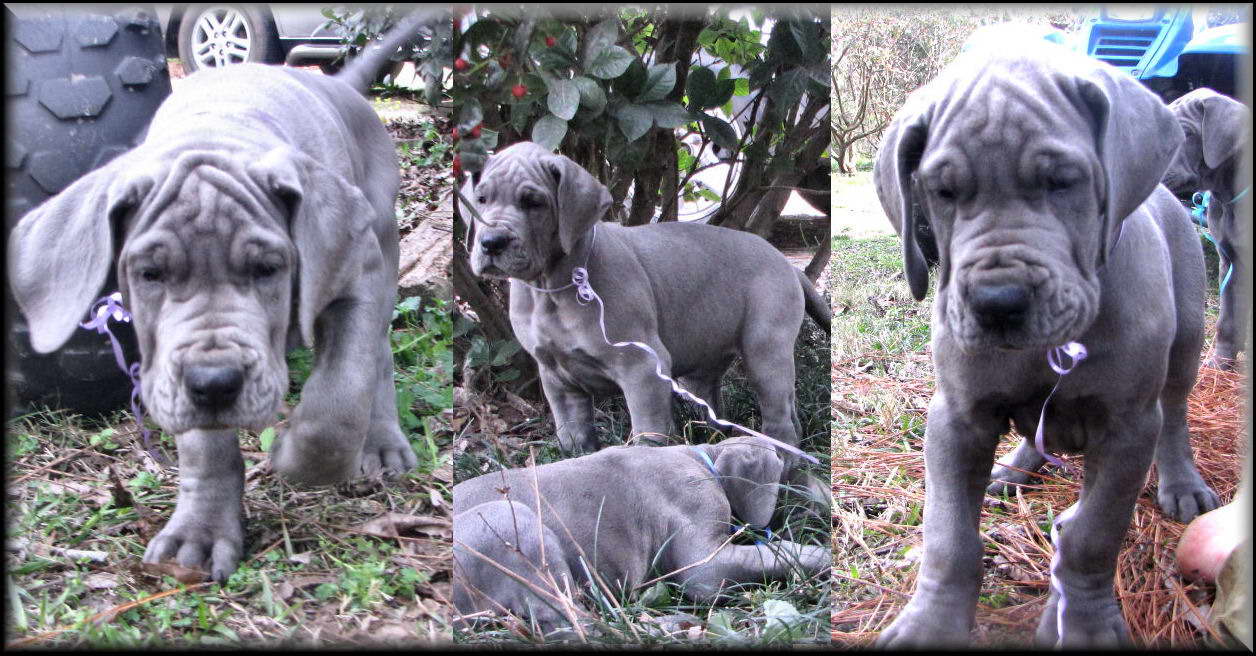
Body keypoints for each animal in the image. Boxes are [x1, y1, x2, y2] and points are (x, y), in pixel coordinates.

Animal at [8, 10, 437, 580]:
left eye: (267, 269)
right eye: (150, 274)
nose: (215, 384)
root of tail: (338, 85)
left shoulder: (357, 279)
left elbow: (341, 394)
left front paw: (297, 455)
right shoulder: (170, 356)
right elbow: (204, 448)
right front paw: (202, 532)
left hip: (383, 246)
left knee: (378, 357)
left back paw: (384, 442)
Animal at [467, 140, 828, 467]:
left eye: (534, 202)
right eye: (481, 200)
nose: (491, 242)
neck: (552, 286)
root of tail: (787, 264)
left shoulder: (641, 369)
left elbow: (648, 434)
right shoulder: (558, 379)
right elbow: (574, 436)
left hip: (765, 352)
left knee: (780, 418)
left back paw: (784, 464)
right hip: (706, 361)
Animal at [874, 43, 1215, 643]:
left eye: (1062, 181)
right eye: (942, 193)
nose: (998, 301)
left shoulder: (1128, 427)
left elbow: (1092, 536)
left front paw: (1086, 623)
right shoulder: (956, 418)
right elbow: (948, 537)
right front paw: (931, 623)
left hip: (1187, 344)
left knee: (1174, 412)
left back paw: (1181, 481)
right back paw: (1014, 466)